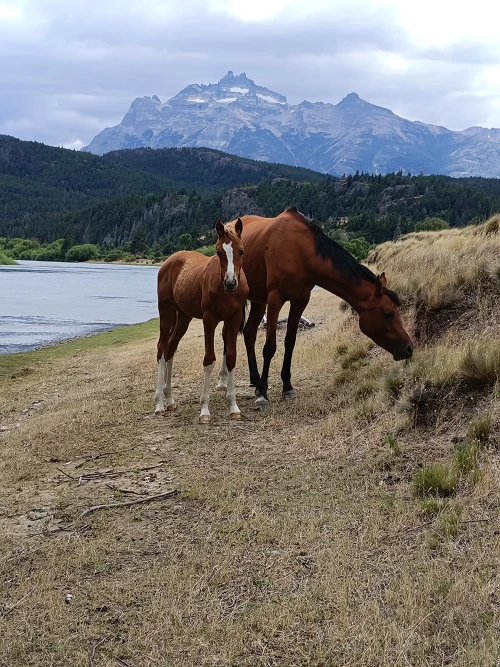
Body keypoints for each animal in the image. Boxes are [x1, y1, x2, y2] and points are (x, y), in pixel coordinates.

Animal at [155, 218, 248, 423]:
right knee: (161, 349)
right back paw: (159, 403)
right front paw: (204, 410)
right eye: (218, 251)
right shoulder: (209, 320)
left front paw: (234, 406)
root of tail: (168, 262)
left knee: (171, 348)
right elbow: (209, 359)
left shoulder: (234, 318)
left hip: (184, 317)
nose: (231, 283)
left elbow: (231, 357)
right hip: (167, 314)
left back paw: (170, 399)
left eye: (241, 250)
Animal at [227, 207, 413, 407]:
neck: (298, 250)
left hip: (259, 301)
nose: (409, 348)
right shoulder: (275, 299)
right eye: (388, 313)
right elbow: (270, 347)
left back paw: (254, 379)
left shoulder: (300, 300)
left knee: (249, 333)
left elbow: (290, 342)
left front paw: (287, 385)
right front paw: (263, 392)